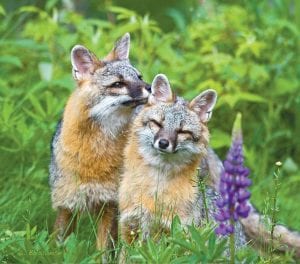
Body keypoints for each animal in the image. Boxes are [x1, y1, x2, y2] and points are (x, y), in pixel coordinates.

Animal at [50, 33, 151, 252]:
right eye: (118, 84)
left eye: (139, 77)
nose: (150, 87)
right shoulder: (66, 203)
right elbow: (58, 245)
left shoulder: (110, 205)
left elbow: (103, 251)